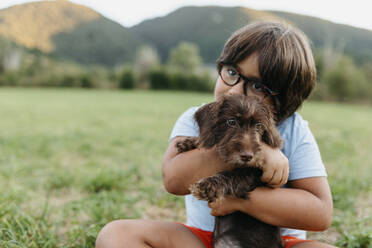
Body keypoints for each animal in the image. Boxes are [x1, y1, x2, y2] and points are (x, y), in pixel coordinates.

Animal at [176, 94, 284, 248]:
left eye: (258, 125)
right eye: (231, 122)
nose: (247, 156)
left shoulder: (254, 174)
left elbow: (232, 175)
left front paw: (208, 185)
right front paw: (189, 142)